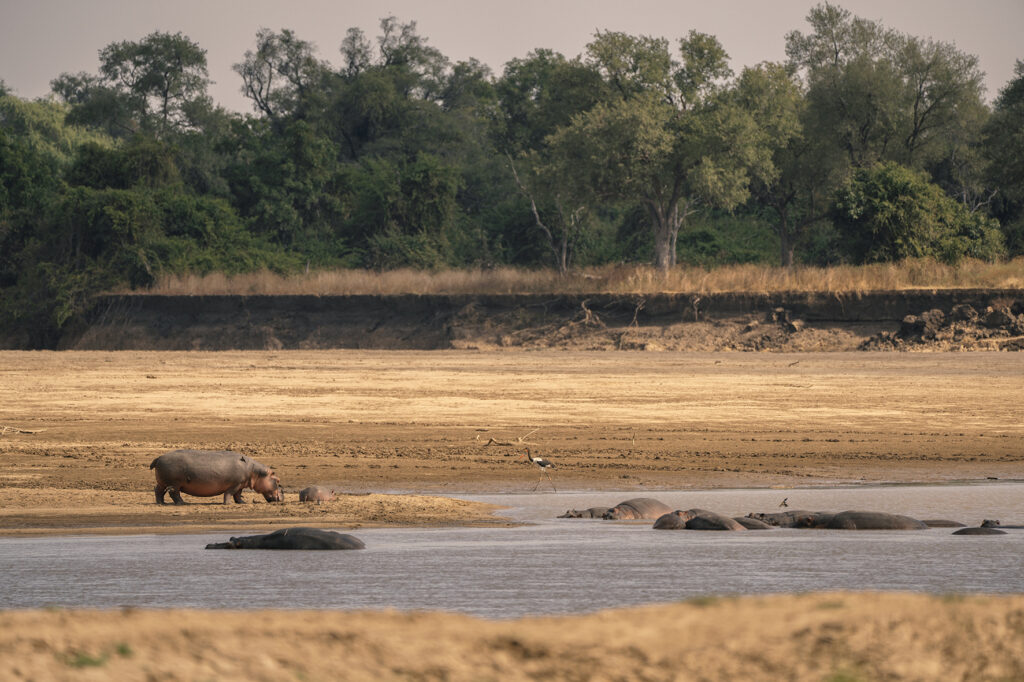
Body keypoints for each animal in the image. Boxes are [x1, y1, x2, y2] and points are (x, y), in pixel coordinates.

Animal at [150, 449, 283, 505]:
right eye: (277, 480)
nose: (283, 496)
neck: (255, 471)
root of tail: (159, 457)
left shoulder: (240, 485)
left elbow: (238, 495)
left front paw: (242, 502)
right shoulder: (235, 484)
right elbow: (229, 493)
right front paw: (227, 504)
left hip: (162, 483)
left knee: (158, 491)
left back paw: (161, 503)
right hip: (174, 484)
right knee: (174, 494)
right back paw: (183, 503)